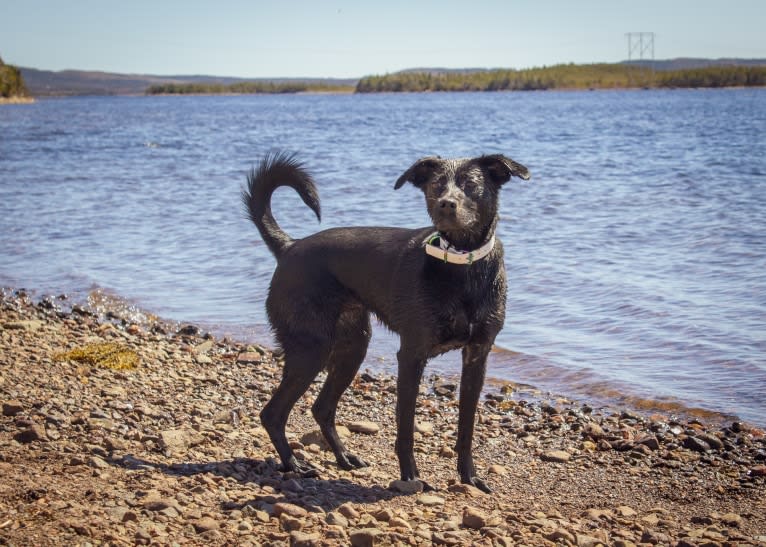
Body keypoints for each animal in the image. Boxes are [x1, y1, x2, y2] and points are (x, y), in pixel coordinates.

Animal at [243, 152, 532, 494]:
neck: (461, 264)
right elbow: (405, 427)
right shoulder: (411, 356)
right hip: (311, 349)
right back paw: (294, 465)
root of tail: (289, 246)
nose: (446, 204)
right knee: (273, 413)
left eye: (471, 184)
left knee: (321, 408)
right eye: (436, 184)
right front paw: (410, 477)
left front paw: (469, 477)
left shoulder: (478, 356)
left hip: (353, 347)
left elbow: (466, 429)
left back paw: (343, 458)